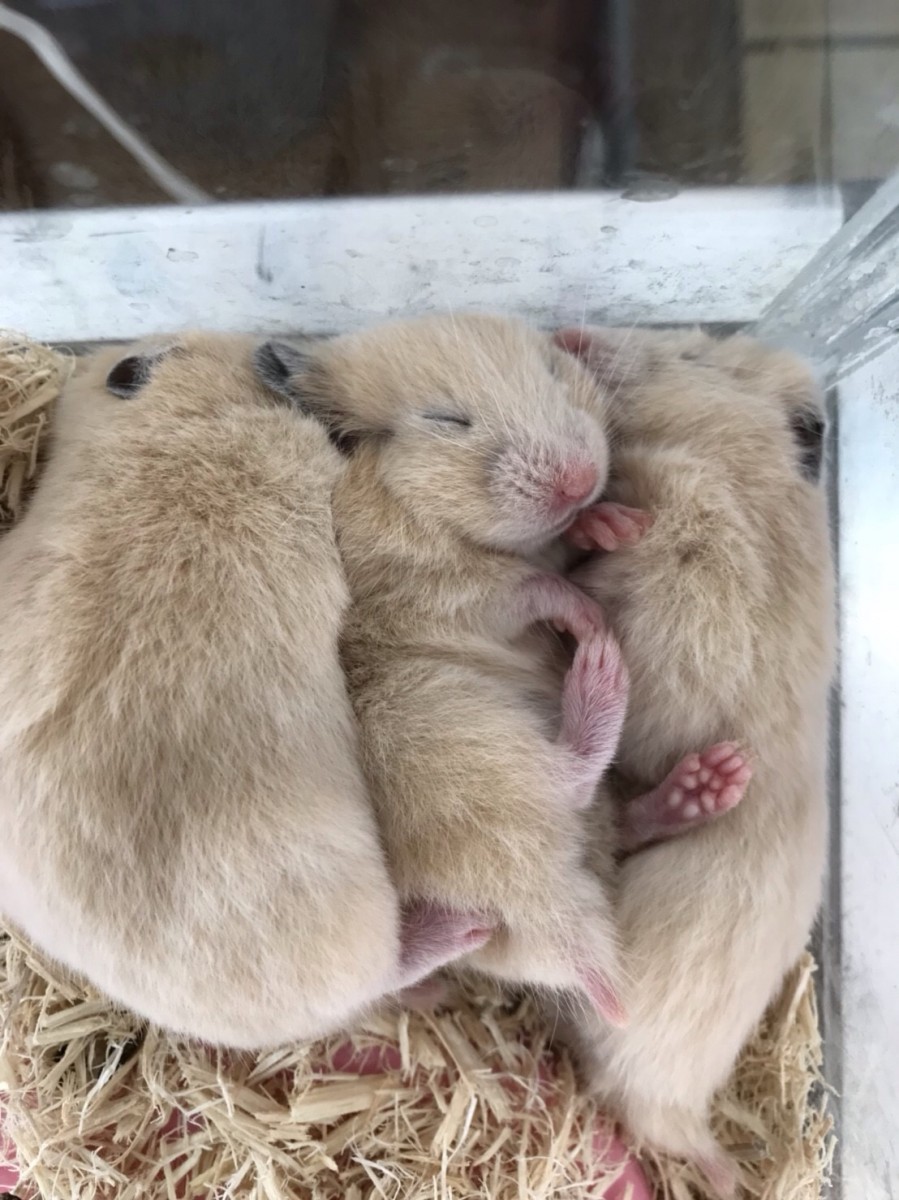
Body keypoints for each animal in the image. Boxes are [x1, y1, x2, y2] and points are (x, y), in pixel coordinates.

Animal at [255, 313, 640, 1023]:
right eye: (446, 420)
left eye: (552, 371)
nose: (579, 478)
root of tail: (555, 926)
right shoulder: (449, 592)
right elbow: (530, 587)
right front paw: (583, 612)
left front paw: (615, 524)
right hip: (453, 725)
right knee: (565, 778)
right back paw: (599, 662)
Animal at [550, 326, 836, 1196]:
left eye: (692, 351)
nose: (567, 333)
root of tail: (680, 1111)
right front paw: (600, 517)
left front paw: (606, 523)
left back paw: (703, 786)